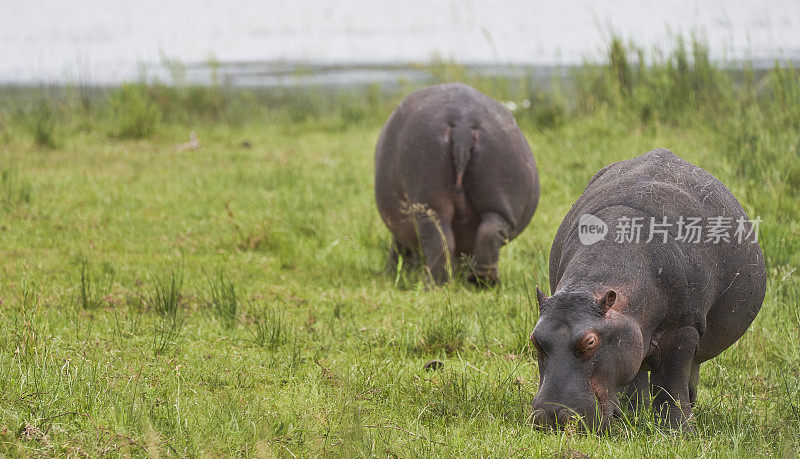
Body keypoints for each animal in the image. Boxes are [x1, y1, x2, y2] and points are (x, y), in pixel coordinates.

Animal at [374, 81, 536, 286]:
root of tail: (463, 125)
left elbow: (398, 249)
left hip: (429, 199)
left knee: (440, 242)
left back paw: (435, 284)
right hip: (499, 199)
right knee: (488, 231)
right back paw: (482, 281)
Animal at [532, 149, 768, 434]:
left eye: (590, 342)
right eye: (535, 339)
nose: (550, 416)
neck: (591, 286)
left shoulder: (684, 327)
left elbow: (671, 381)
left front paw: (679, 431)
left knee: (687, 372)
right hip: (637, 337)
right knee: (637, 371)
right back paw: (632, 413)